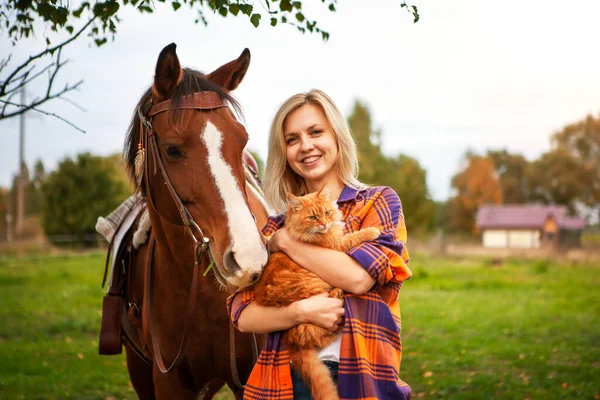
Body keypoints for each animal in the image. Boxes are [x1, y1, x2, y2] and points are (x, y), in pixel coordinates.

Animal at [253, 188, 380, 400]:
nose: (324, 224)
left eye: (327, 213)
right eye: (312, 217)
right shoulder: (336, 247)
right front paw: (373, 231)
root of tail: (291, 339)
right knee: (321, 332)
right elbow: (353, 236)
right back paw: (339, 297)